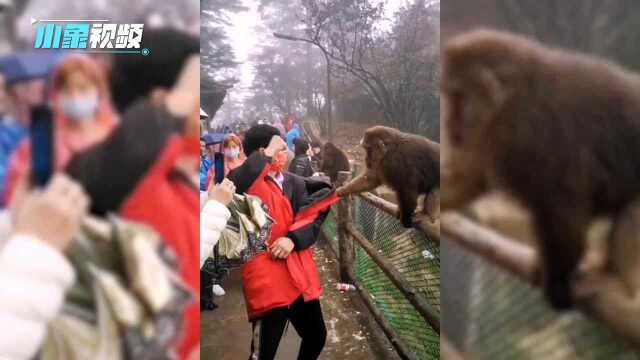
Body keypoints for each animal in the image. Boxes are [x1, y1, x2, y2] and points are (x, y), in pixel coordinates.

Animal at [440, 28, 640, 310]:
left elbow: (565, 209)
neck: (509, 104)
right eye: (451, 96)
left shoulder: (530, 134)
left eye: (458, 98)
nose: (449, 123)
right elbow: (469, 180)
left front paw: (557, 281)